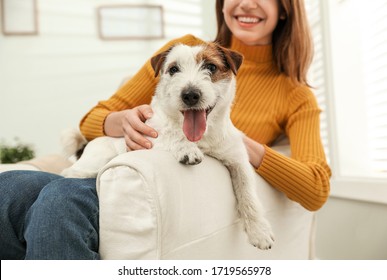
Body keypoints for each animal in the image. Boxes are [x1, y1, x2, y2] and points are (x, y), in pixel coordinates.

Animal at [62, 42, 274, 249]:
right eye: (173, 69)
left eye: (211, 67)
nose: (190, 95)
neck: (201, 138)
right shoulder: (150, 133)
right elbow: (169, 133)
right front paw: (186, 148)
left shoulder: (237, 158)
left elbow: (248, 192)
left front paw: (259, 231)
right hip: (94, 162)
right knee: (68, 173)